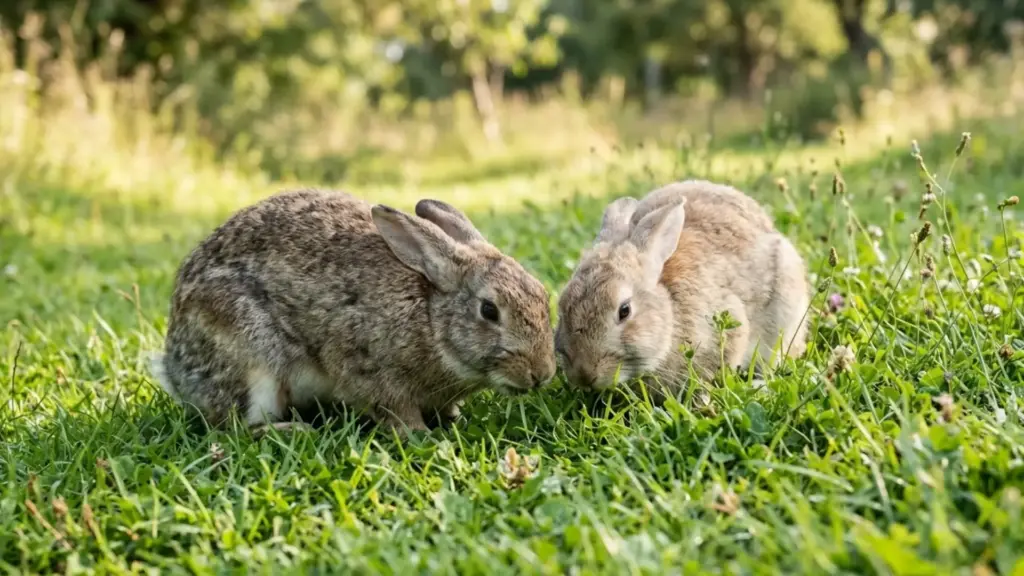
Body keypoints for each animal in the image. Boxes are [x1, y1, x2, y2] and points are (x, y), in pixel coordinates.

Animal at [149, 188, 558, 435]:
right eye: (489, 310)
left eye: (541, 295)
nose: (541, 374)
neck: (429, 317)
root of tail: (176, 370)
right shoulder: (371, 370)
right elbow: (395, 410)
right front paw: (421, 435)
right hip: (252, 359)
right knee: (234, 426)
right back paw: (295, 430)